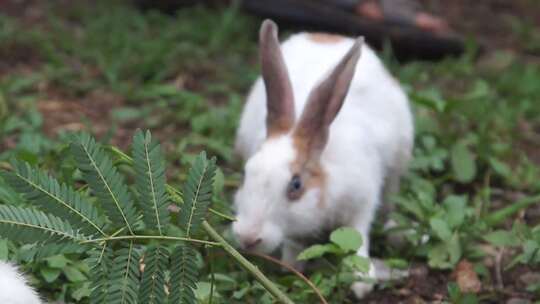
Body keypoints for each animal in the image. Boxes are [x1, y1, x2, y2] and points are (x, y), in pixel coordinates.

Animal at [232, 19, 414, 300]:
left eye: (296, 185)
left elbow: (359, 235)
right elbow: (295, 244)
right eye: (245, 174)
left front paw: (362, 283)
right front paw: (292, 267)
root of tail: (328, 35)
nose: (248, 238)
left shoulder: (362, 201)